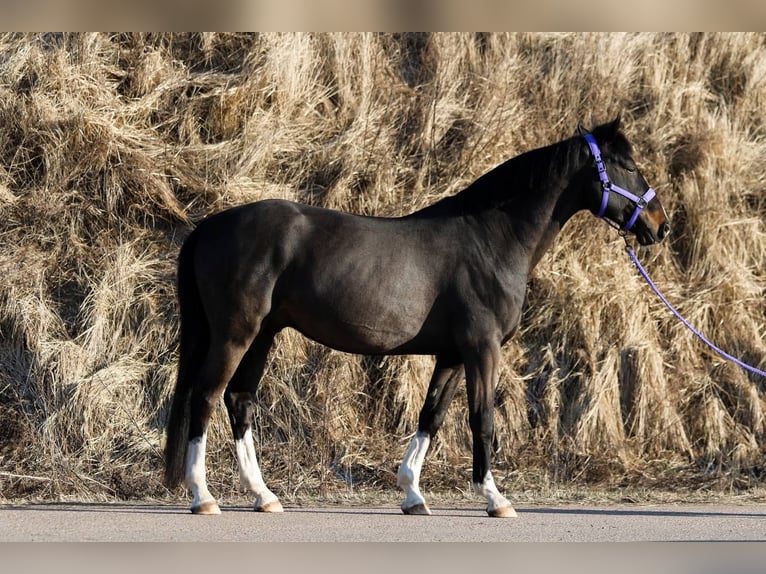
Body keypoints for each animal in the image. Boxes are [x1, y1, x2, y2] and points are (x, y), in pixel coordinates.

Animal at [164, 117, 672, 516]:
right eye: (628, 165)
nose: (660, 225)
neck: (491, 238)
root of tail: (209, 225)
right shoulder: (482, 349)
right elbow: (482, 419)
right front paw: (495, 498)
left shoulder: (452, 355)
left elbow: (432, 416)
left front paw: (412, 494)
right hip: (236, 333)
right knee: (206, 397)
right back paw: (203, 495)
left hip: (263, 334)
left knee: (239, 401)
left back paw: (263, 495)